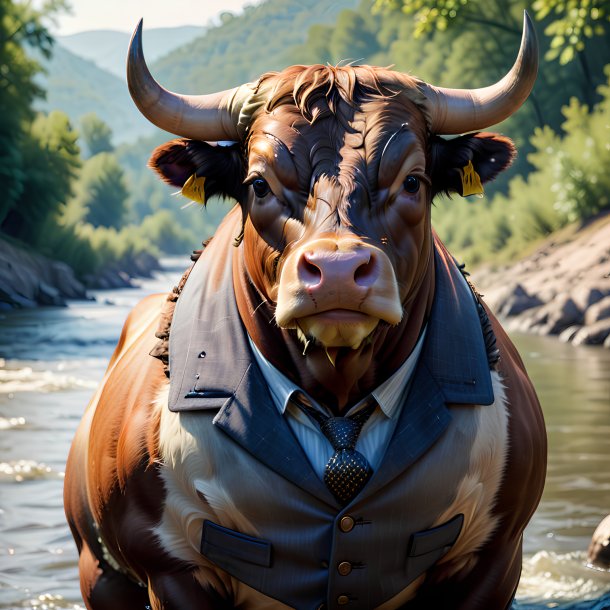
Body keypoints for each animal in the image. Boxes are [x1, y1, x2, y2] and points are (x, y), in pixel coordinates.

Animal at [65, 14, 548, 608]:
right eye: (258, 184)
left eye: (413, 180)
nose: (338, 270)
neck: (337, 396)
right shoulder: (171, 574)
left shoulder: (496, 560)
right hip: (100, 575)